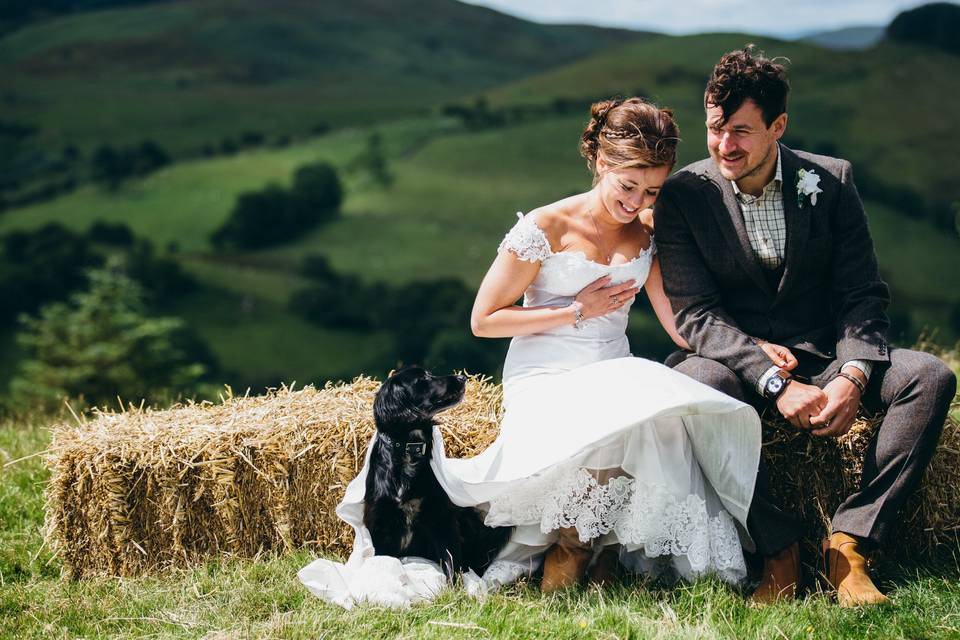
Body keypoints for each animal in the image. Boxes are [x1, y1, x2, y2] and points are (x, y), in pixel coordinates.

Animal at [362, 364, 510, 580]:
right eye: (423, 379)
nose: (462, 378)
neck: (409, 450)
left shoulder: (441, 519)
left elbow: (451, 562)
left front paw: (454, 587)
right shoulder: (381, 522)